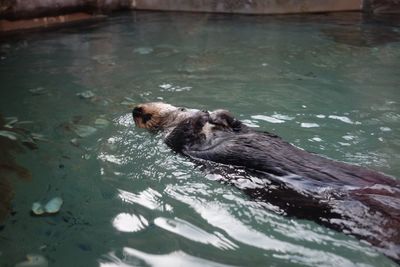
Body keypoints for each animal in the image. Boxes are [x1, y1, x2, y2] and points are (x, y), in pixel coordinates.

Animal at [133, 102, 400, 264]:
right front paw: (199, 116)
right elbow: (178, 136)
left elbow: (235, 122)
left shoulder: (235, 127)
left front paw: (215, 114)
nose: (137, 109)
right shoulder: (175, 144)